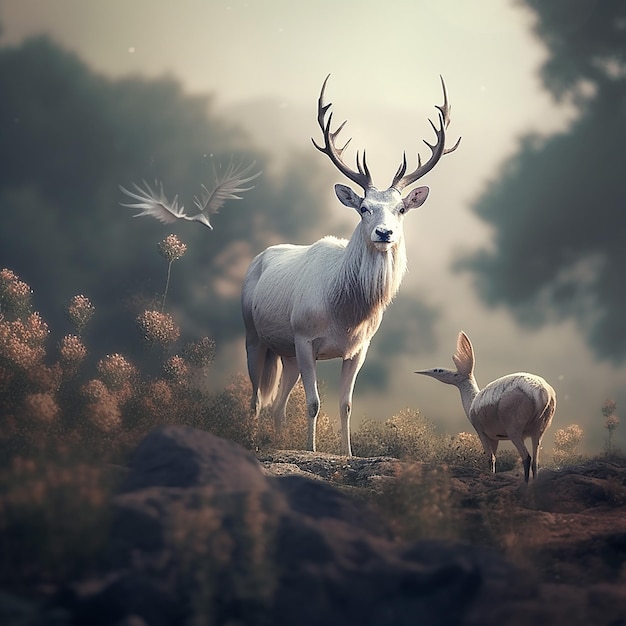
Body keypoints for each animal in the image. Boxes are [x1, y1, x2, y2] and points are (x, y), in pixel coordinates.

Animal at [241, 77, 460, 454]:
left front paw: (346, 453)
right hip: (253, 334)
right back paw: (254, 440)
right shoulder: (304, 336)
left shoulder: (359, 348)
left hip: (285, 352)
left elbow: (345, 404)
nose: (384, 233)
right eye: (363, 208)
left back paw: (277, 439)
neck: (345, 313)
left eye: (402, 209)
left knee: (278, 403)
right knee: (256, 398)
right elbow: (313, 403)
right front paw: (312, 450)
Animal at [416, 330, 552, 480]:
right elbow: (494, 458)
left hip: (514, 430)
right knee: (535, 462)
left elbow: (490, 459)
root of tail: (542, 393)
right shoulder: (495, 437)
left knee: (526, 457)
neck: (472, 401)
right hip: (539, 430)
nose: (419, 371)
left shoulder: (482, 433)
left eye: (438, 370)